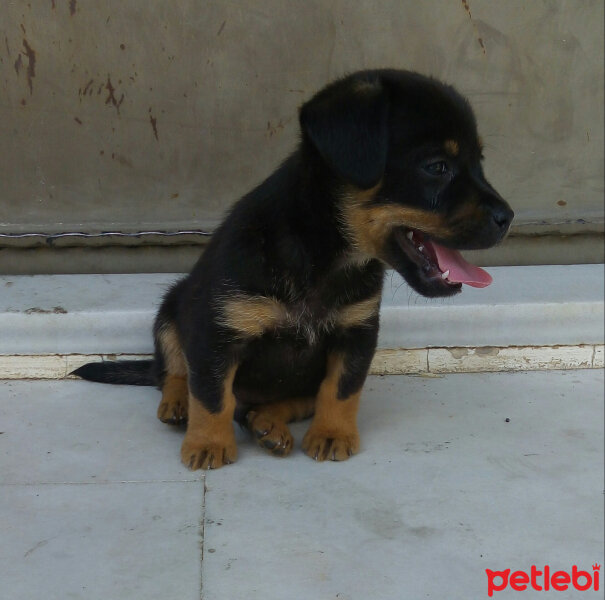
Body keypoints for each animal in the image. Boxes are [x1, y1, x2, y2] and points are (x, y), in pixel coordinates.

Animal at [73, 69, 512, 468]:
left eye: (479, 163)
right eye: (437, 167)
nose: (508, 217)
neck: (322, 255)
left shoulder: (357, 331)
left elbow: (341, 389)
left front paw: (332, 434)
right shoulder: (216, 331)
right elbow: (212, 394)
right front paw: (209, 444)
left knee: (286, 401)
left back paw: (268, 424)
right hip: (173, 306)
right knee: (174, 372)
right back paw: (179, 403)